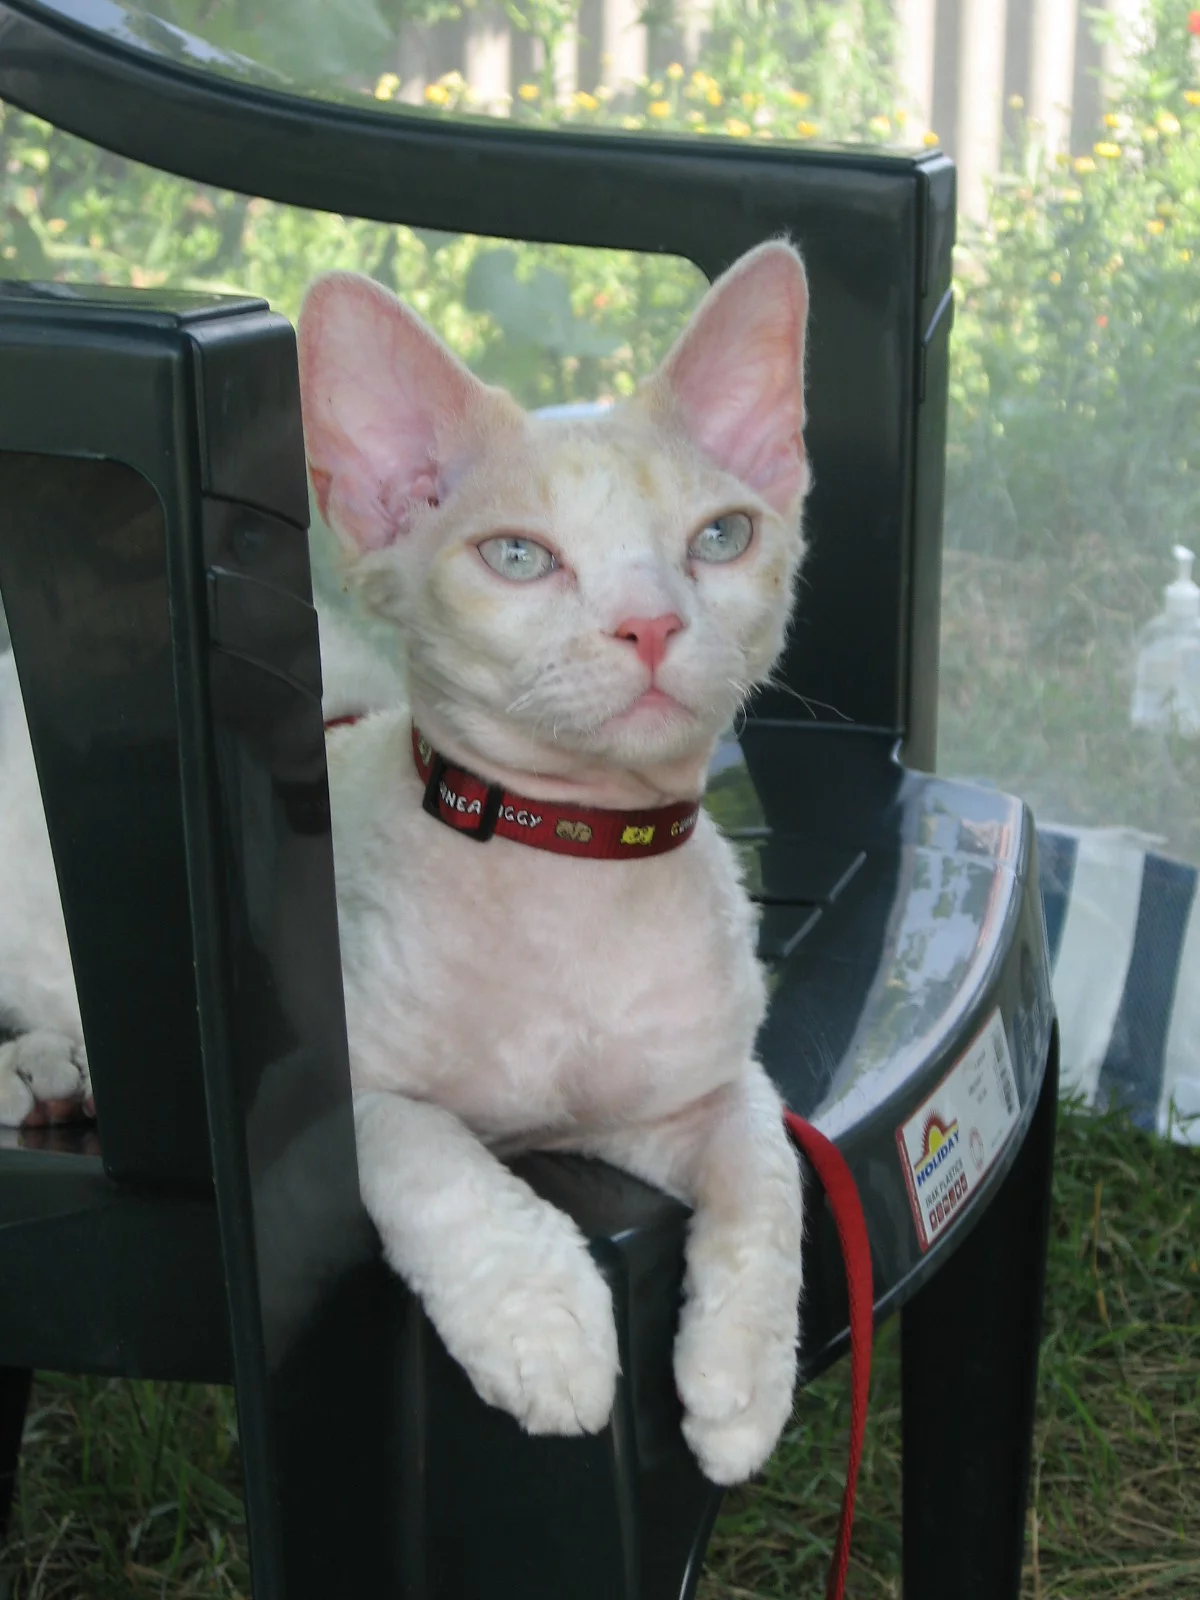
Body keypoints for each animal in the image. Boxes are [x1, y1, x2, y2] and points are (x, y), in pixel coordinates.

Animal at [0, 240, 810, 1485]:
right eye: (518, 557)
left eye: (721, 538)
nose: (651, 625)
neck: (569, 856)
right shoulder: (316, 1100)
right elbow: (434, 1153)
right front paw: (545, 1326)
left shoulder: (700, 1093)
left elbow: (772, 1175)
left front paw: (740, 1385)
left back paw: (61, 1070)